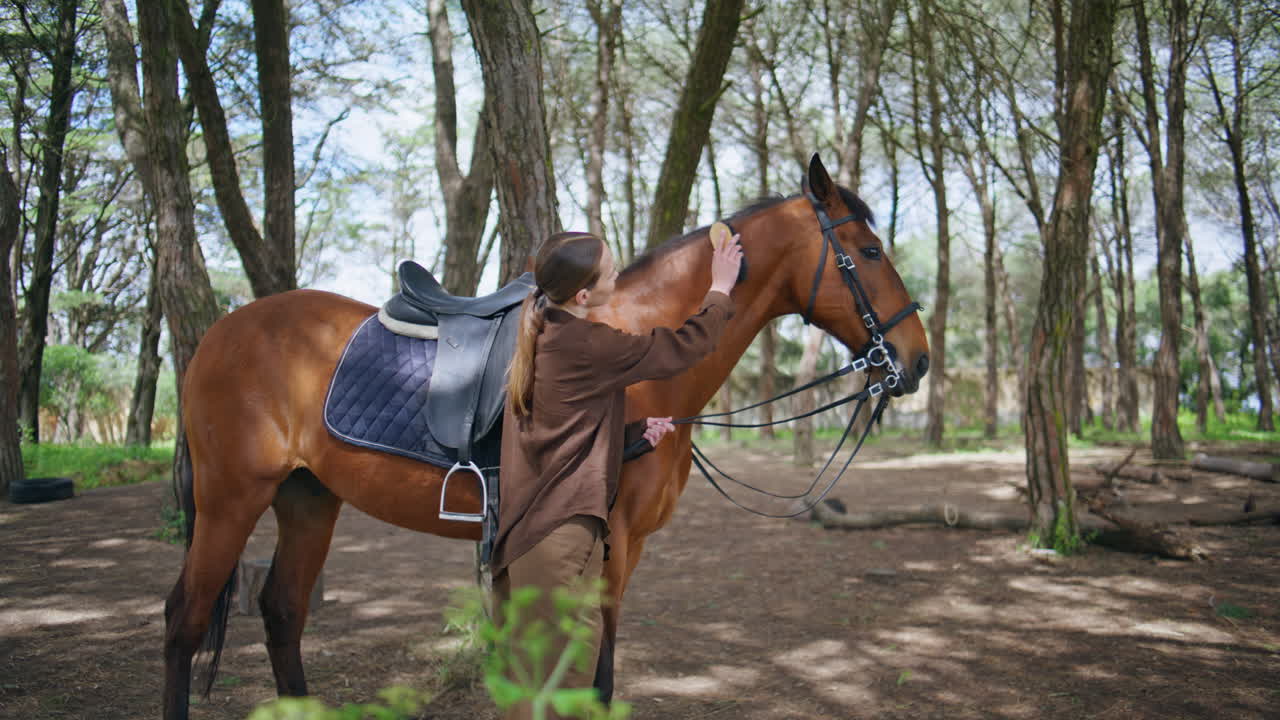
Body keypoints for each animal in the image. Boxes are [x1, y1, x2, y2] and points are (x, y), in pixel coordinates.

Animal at [162, 154, 929, 719]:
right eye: (869, 250)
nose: (917, 359)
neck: (639, 348)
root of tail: (220, 334)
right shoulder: (612, 543)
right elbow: (596, 676)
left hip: (308, 498)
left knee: (282, 610)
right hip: (230, 499)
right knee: (185, 619)